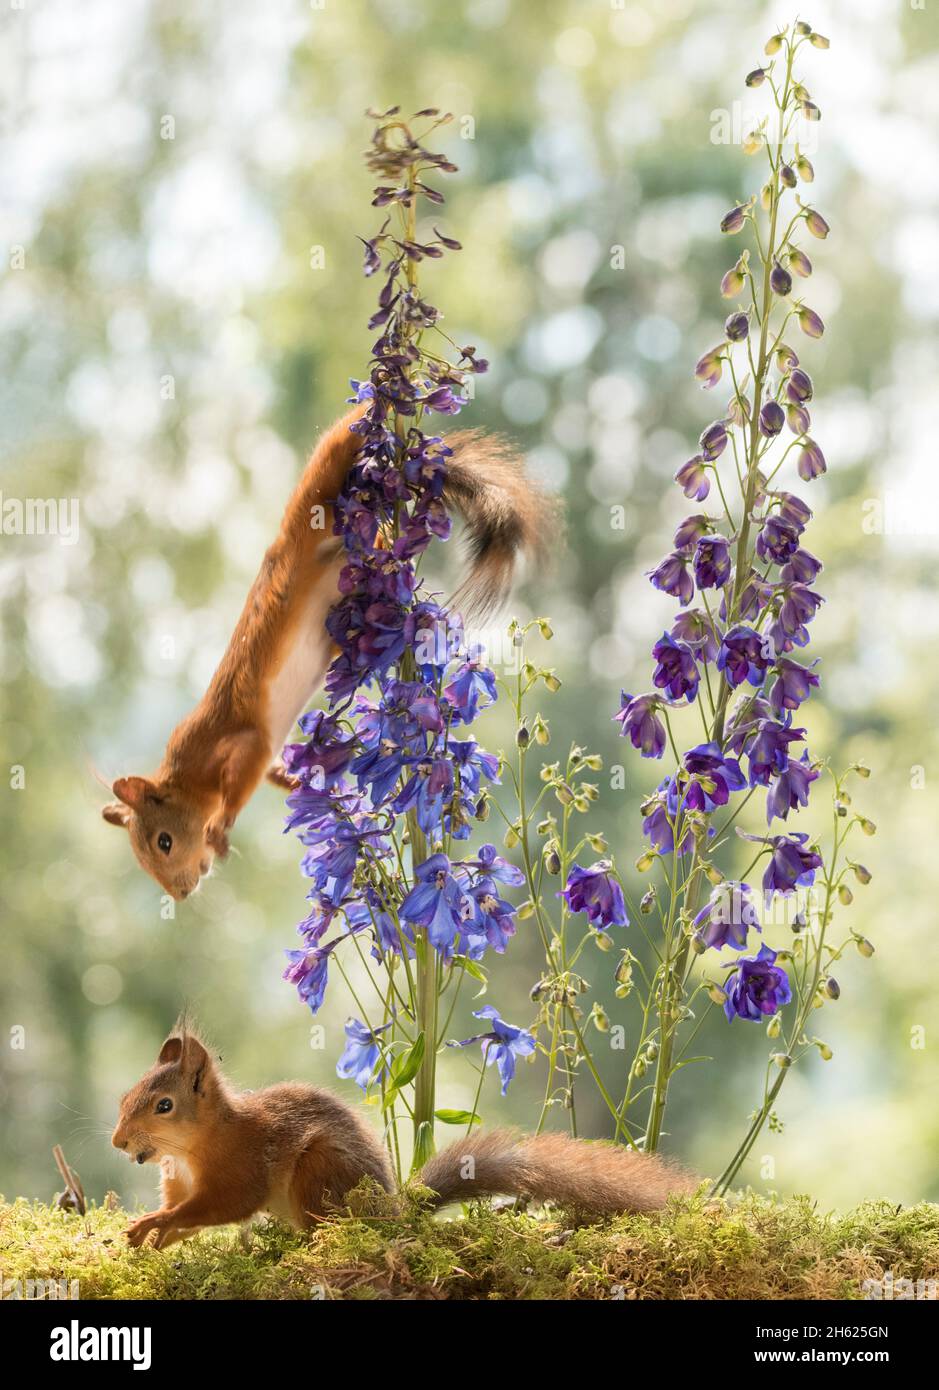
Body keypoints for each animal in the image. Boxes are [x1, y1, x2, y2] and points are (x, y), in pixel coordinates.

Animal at [100, 405, 550, 900]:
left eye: (164, 841)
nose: (181, 893)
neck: (186, 772)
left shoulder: (238, 739)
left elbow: (241, 777)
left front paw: (219, 829)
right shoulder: (264, 753)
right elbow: (278, 772)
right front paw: (301, 781)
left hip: (325, 480)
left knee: (340, 447)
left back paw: (370, 411)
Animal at [111, 1023, 697, 1251]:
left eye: (164, 1105)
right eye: (127, 1093)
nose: (118, 1143)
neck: (189, 1152)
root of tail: (394, 1212)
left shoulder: (242, 1168)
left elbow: (222, 1206)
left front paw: (154, 1224)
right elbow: (188, 1215)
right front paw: (156, 1233)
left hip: (320, 1173)